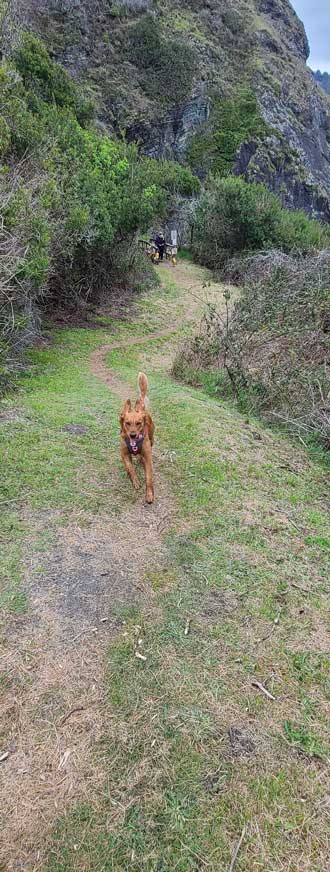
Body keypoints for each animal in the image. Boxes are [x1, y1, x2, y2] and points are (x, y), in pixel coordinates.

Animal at [118, 370, 155, 504]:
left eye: (139, 423)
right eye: (127, 423)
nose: (133, 435)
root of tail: (141, 408)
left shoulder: (148, 458)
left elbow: (149, 478)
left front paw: (149, 494)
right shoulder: (124, 453)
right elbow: (130, 467)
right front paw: (135, 480)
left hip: (152, 439)